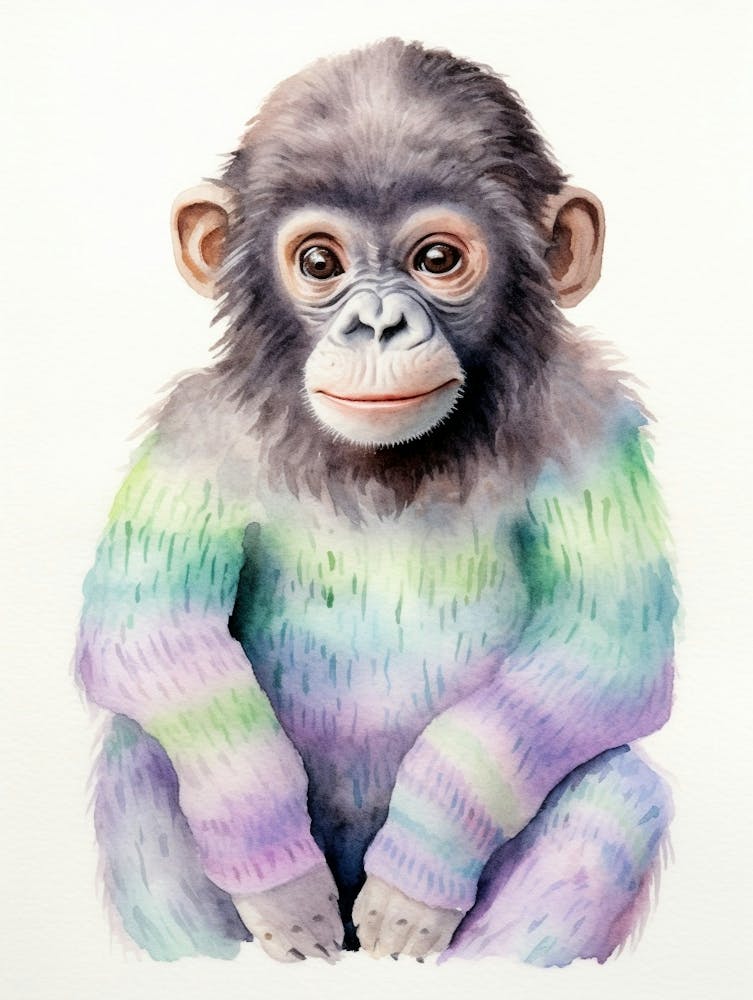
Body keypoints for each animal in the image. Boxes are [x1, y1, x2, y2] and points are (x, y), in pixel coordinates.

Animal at [76, 38, 676, 967]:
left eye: (436, 261)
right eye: (320, 264)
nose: (379, 324)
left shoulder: (592, 424)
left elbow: (607, 636)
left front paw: (411, 888)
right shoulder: (193, 436)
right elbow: (148, 628)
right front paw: (285, 891)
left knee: (619, 790)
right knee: (141, 753)